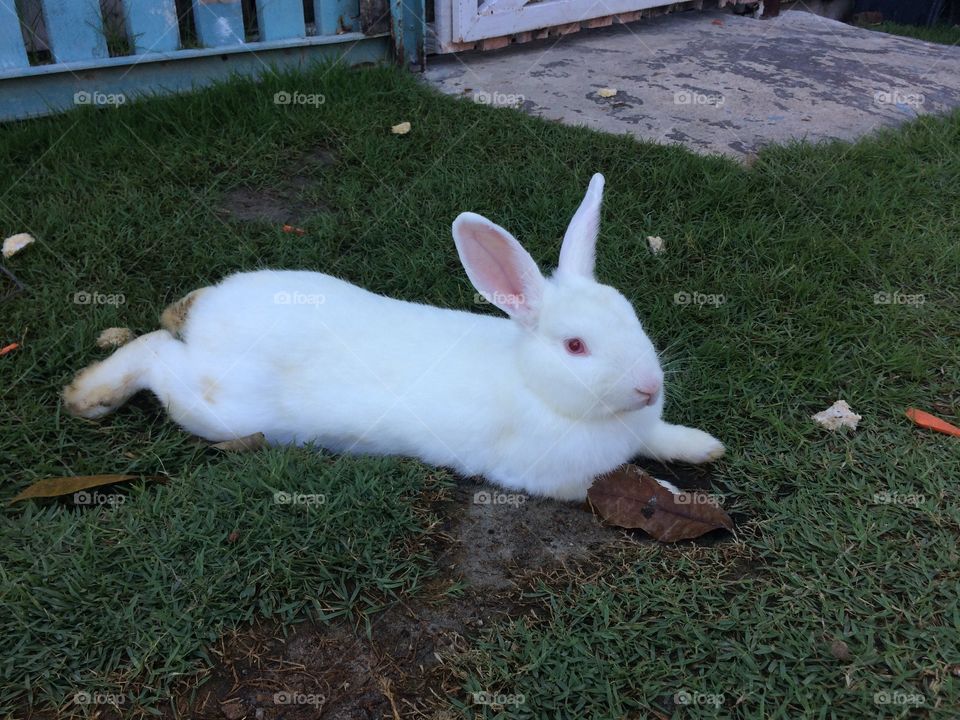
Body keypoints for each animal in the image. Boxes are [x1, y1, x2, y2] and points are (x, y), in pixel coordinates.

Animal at [62, 174, 724, 501]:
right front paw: (671, 492)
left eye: (631, 315)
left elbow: (663, 438)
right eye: (576, 347)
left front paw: (703, 447)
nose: (649, 386)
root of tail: (210, 319)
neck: (536, 386)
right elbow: (617, 484)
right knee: (154, 354)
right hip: (218, 407)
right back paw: (87, 397)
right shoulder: (554, 479)